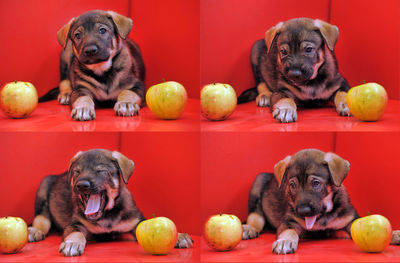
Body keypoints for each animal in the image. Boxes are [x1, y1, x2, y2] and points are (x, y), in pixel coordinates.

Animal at [27, 151, 193, 258]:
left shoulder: (136, 222)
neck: (108, 215)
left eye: (100, 171)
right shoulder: (75, 224)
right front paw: (72, 243)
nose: (81, 185)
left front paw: (179, 236)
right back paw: (35, 231)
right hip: (43, 190)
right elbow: (76, 232)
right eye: (77, 171)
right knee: (42, 220)